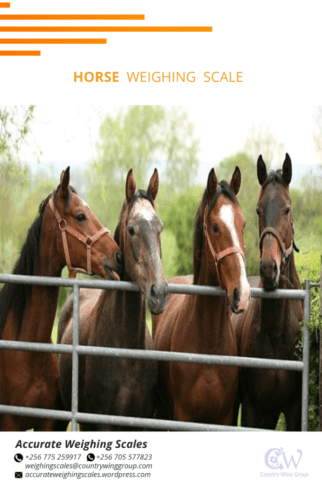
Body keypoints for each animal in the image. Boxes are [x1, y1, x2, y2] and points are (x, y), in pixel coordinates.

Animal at [152, 166, 250, 422]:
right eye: (215, 226)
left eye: (243, 224)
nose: (243, 293)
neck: (208, 343)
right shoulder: (182, 415)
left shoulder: (225, 417)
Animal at [233, 155, 304, 430]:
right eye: (258, 210)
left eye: (287, 209)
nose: (268, 269)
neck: (276, 331)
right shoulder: (253, 408)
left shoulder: (293, 410)